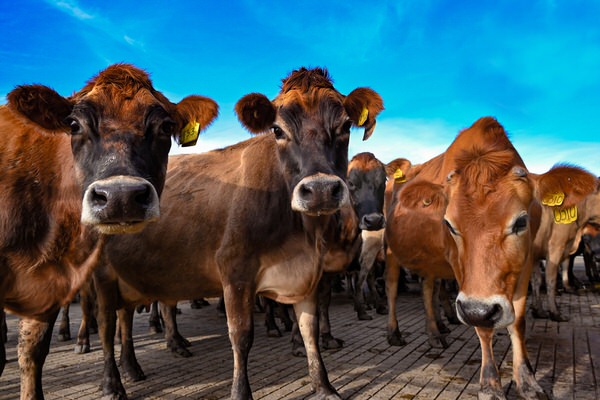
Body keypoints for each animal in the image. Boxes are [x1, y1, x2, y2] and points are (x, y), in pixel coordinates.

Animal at [532, 177, 600, 320]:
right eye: (586, 238)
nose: (598, 257)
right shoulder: (555, 248)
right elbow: (550, 279)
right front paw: (555, 313)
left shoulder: (536, 254)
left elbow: (537, 280)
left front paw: (538, 311)